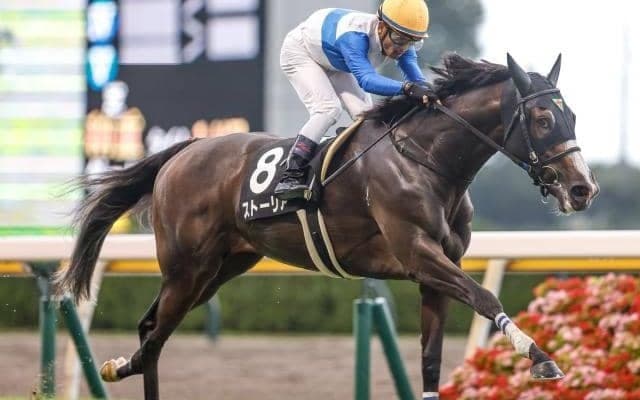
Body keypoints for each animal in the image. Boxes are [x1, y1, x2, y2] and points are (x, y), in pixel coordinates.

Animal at [55, 53, 599, 400]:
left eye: (573, 114)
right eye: (544, 118)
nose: (582, 188)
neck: (427, 161)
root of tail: (181, 152)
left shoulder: (436, 272)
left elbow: (430, 359)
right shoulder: (418, 254)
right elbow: (486, 297)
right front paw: (540, 356)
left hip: (219, 270)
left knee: (152, 333)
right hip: (187, 270)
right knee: (152, 340)